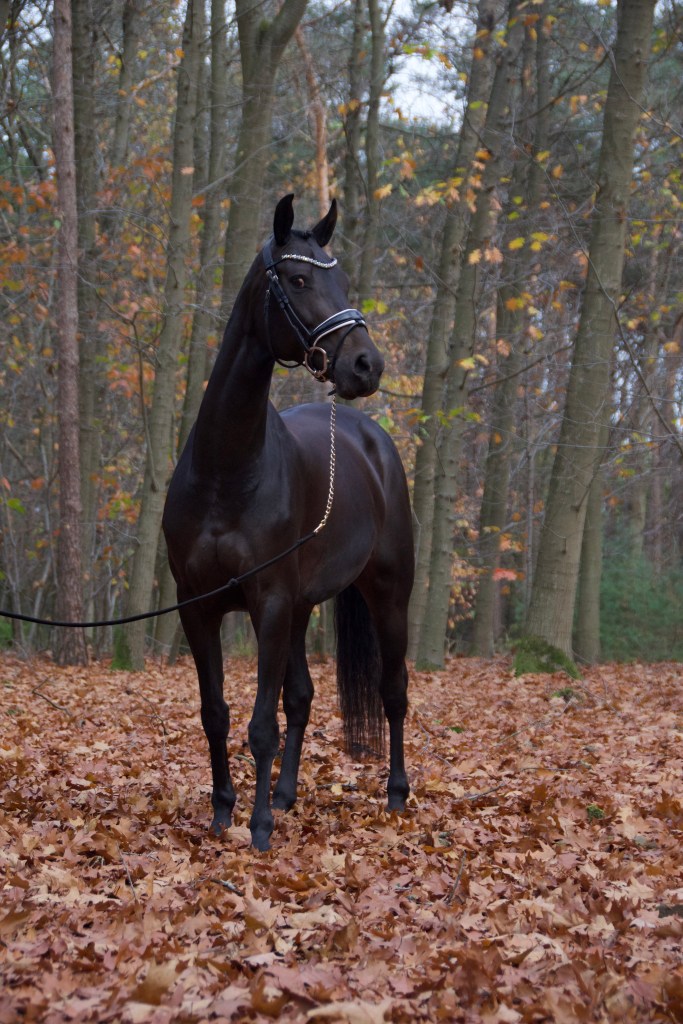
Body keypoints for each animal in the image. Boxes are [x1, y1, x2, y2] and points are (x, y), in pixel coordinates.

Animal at [162, 194, 414, 851]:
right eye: (298, 280)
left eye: (341, 281)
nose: (366, 365)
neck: (227, 470)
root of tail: (372, 441)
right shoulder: (199, 606)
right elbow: (217, 714)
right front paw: (225, 811)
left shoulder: (269, 602)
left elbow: (260, 725)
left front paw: (258, 829)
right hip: (301, 609)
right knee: (301, 698)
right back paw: (286, 793)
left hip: (386, 595)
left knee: (394, 694)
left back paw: (396, 794)